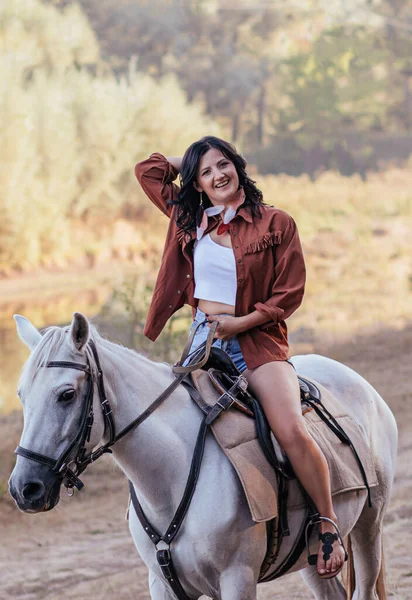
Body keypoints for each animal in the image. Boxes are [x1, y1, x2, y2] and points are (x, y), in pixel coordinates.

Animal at [8, 314, 396, 600]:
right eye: (22, 394)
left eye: (67, 394)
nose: (24, 489)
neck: (171, 476)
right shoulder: (163, 585)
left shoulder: (237, 580)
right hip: (308, 558)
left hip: (369, 526)